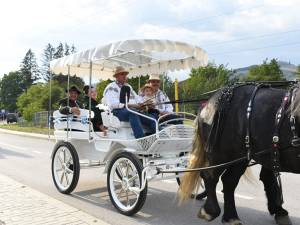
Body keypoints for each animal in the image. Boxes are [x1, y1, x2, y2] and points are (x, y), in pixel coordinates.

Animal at [178, 83, 300, 225]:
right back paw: (210, 211)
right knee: (210, 176)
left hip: (242, 156)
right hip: (221, 154)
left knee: (229, 181)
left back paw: (231, 217)